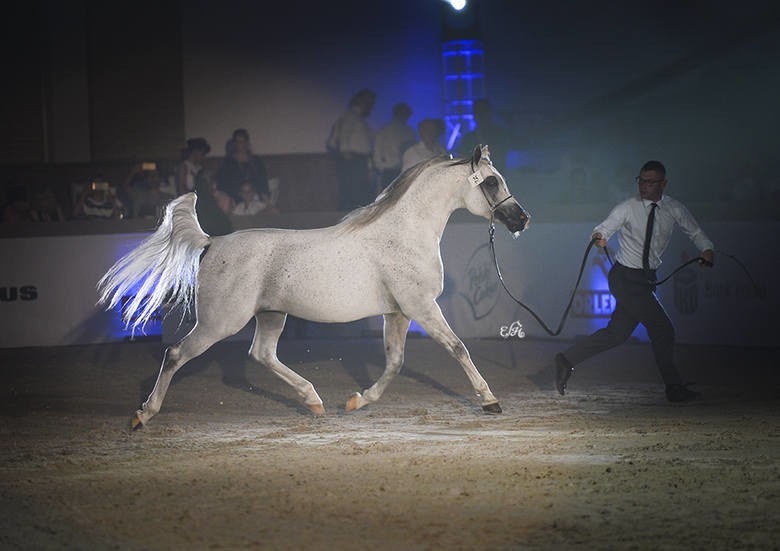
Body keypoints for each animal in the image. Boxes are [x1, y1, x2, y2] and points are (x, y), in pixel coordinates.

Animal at [97, 144, 528, 430]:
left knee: (261, 354)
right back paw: (142, 415)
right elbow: (458, 348)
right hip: (220, 322)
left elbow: (395, 362)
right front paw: (490, 400)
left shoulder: (398, 312)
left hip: (271, 315)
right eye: (492, 182)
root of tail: (211, 243)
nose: (521, 219)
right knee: (174, 354)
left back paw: (314, 401)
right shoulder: (421, 306)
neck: (404, 233)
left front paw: (357, 401)